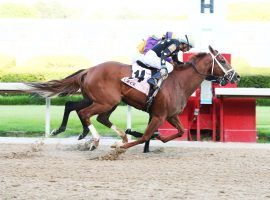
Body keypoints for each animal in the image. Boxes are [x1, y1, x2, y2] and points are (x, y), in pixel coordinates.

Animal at [26, 46, 239, 150]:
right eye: (222, 60)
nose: (236, 76)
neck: (179, 82)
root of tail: (89, 70)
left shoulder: (170, 115)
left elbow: (178, 132)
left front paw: (146, 136)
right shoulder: (159, 115)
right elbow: (145, 136)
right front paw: (122, 145)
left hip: (102, 100)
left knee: (80, 109)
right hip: (106, 100)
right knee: (85, 113)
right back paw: (96, 139)